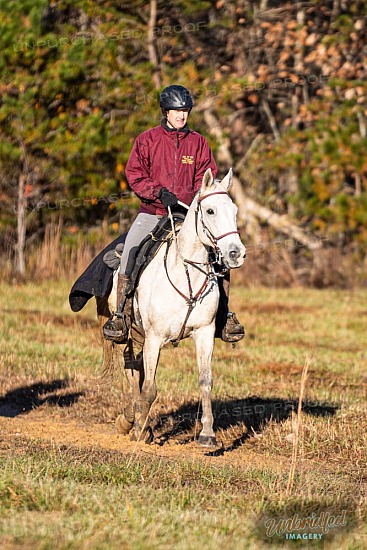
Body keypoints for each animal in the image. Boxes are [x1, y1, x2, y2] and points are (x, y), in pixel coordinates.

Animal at [98, 168, 247, 448]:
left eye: (234, 210)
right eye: (210, 211)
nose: (236, 253)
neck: (186, 272)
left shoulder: (204, 333)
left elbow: (205, 381)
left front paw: (208, 435)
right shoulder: (155, 338)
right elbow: (150, 388)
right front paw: (140, 430)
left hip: (142, 336)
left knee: (136, 367)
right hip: (127, 334)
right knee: (131, 369)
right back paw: (132, 422)